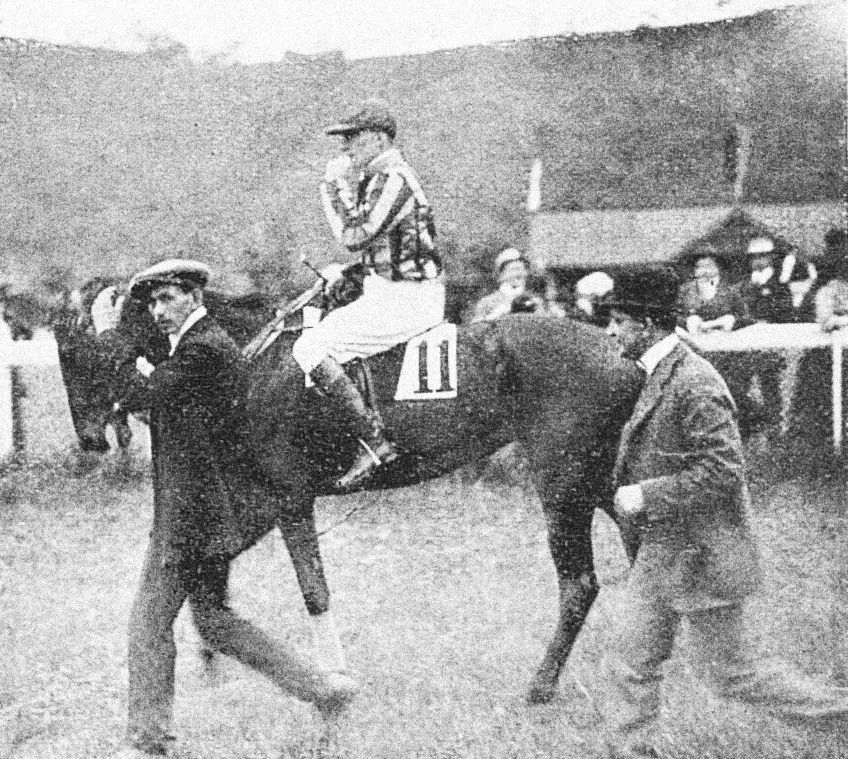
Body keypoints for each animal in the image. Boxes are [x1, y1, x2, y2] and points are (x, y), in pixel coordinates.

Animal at [53, 280, 640, 724]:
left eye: (78, 351)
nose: (89, 439)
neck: (251, 362)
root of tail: (623, 353)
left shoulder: (289, 499)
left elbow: (314, 592)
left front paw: (334, 683)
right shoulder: (255, 505)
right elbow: (211, 576)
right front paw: (213, 662)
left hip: (562, 482)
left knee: (579, 585)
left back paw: (540, 687)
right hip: (597, 481)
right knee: (638, 538)